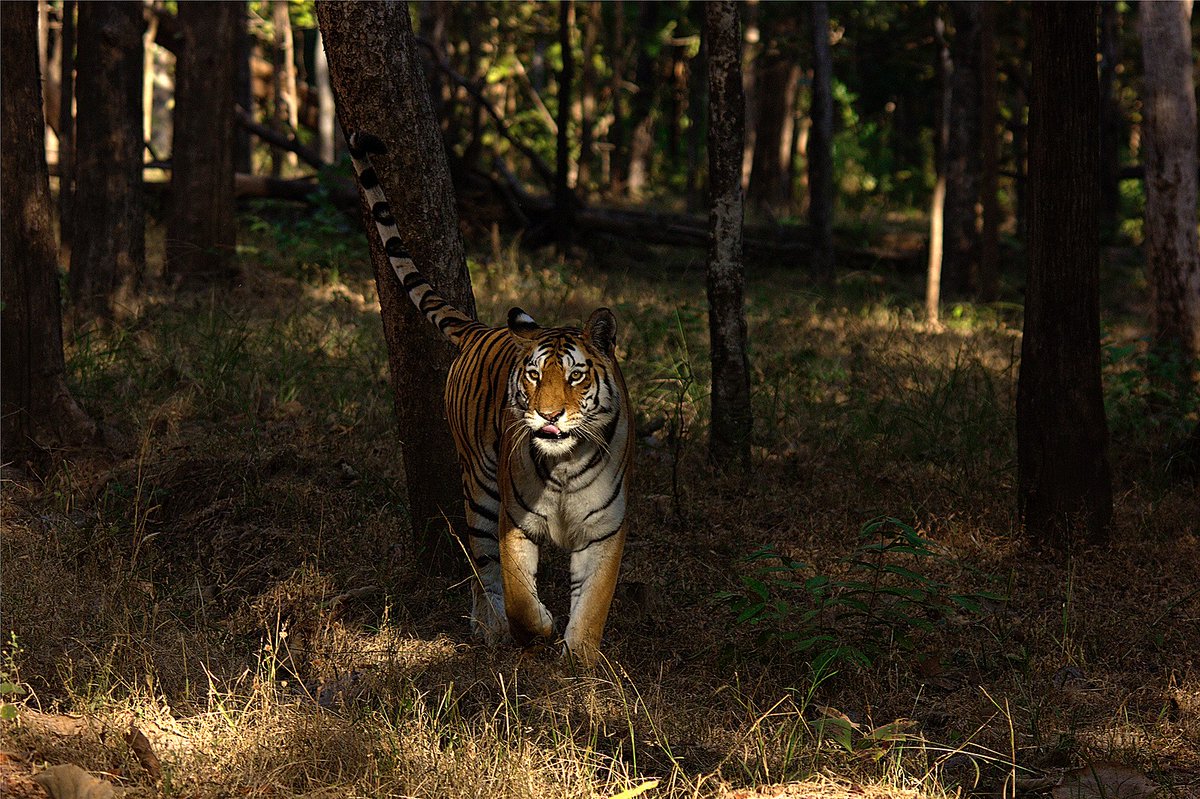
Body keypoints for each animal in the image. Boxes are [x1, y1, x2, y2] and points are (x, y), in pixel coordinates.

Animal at [346, 132, 634, 666]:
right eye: (535, 375)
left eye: (576, 376)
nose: (548, 414)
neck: (563, 466)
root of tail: (481, 330)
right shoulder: (513, 521)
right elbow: (518, 590)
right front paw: (536, 629)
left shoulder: (604, 529)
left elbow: (593, 603)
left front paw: (580, 660)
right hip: (478, 485)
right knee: (482, 566)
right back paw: (490, 627)